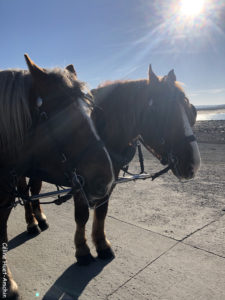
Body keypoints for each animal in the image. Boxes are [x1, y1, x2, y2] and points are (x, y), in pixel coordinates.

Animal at [21, 65, 200, 264]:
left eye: (192, 111)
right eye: (161, 112)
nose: (193, 164)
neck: (98, 131)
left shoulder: (107, 179)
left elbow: (102, 211)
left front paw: (101, 244)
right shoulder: (80, 179)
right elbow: (82, 216)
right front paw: (82, 249)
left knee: (34, 190)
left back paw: (39, 217)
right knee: (24, 192)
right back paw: (31, 222)